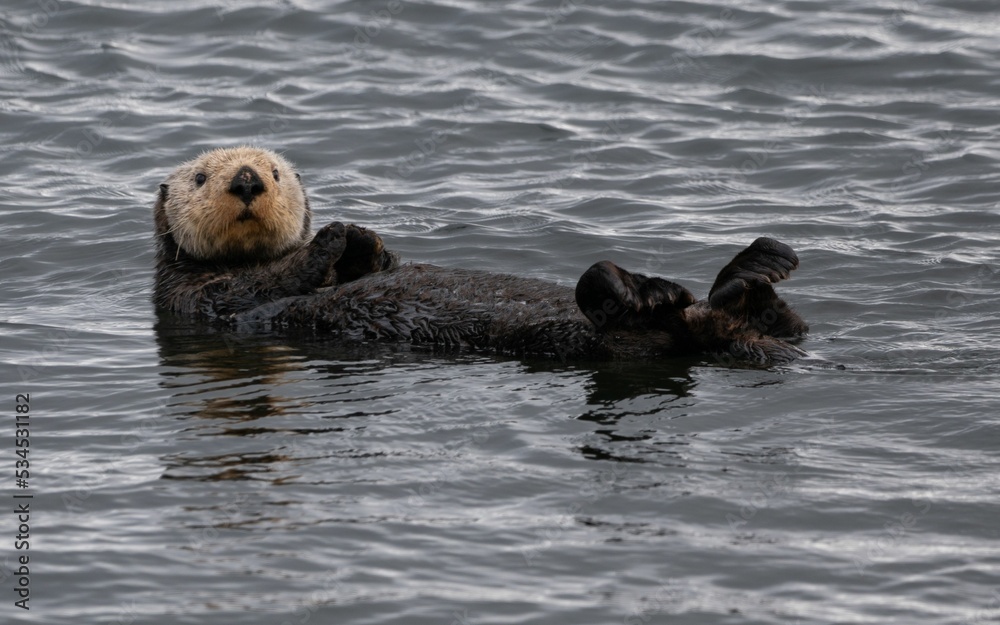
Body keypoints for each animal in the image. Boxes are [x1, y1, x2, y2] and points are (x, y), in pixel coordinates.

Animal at [154, 148, 808, 365]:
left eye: (274, 172)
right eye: (202, 176)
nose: (245, 180)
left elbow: (377, 266)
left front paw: (363, 239)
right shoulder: (196, 298)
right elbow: (259, 287)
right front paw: (333, 237)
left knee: (778, 324)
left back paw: (760, 268)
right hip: (609, 340)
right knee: (628, 320)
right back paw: (640, 290)